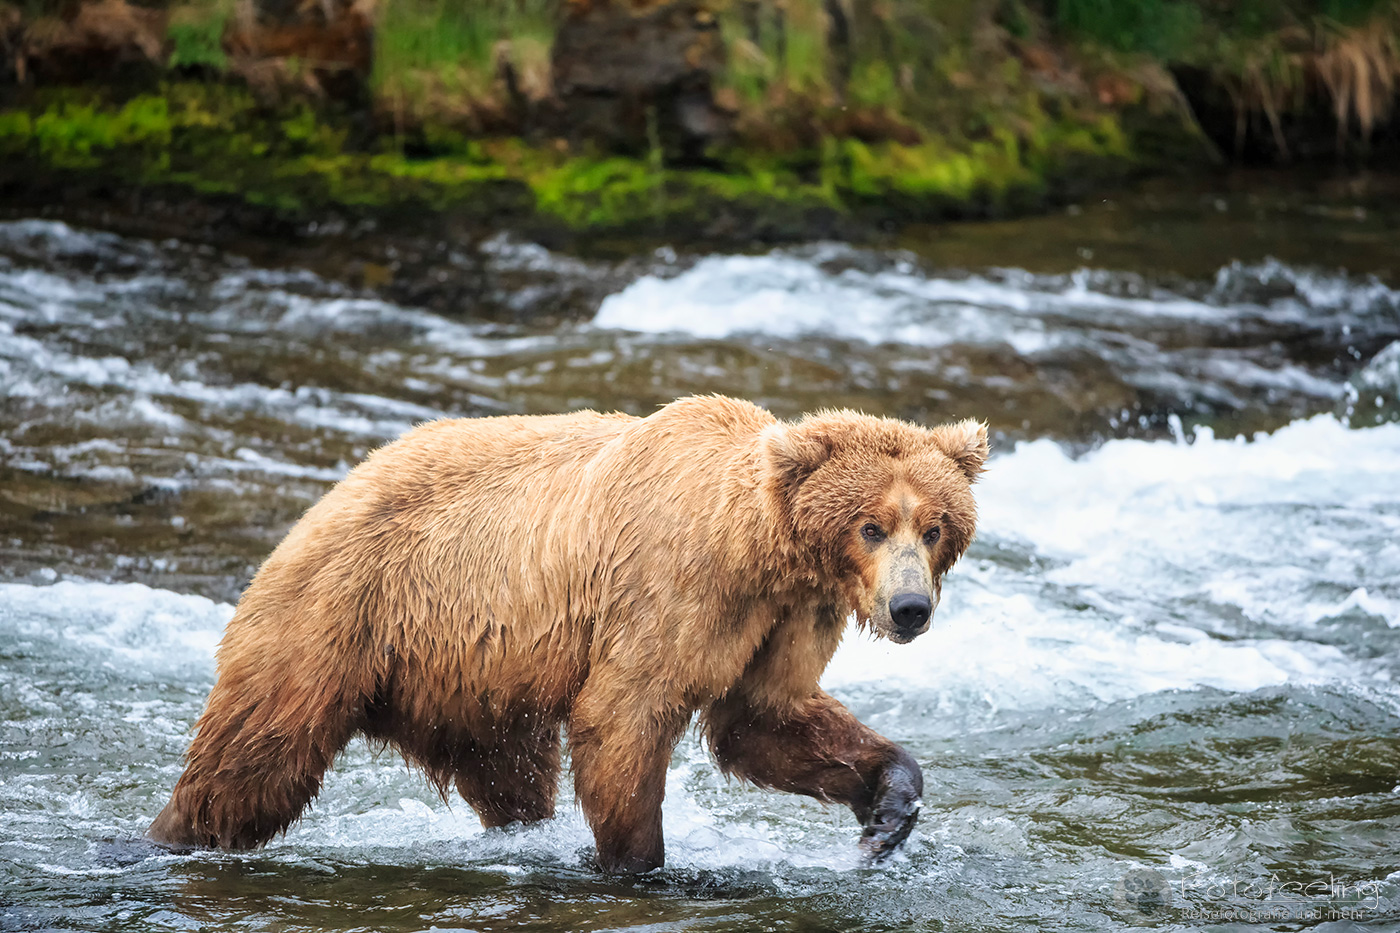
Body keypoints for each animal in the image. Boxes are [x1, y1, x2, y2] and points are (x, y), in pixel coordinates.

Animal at [147, 395, 988, 872]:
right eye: (871, 524)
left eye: (934, 525)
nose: (910, 607)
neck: (757, 547)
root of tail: (325, 497)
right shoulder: (673, 588)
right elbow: (623, 714)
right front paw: (639, 863)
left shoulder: (785, 615)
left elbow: (766, 719)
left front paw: (888, 812)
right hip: (340, 612)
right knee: (258, 759)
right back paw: (167, 837)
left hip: (473, 675)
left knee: (510, 771)